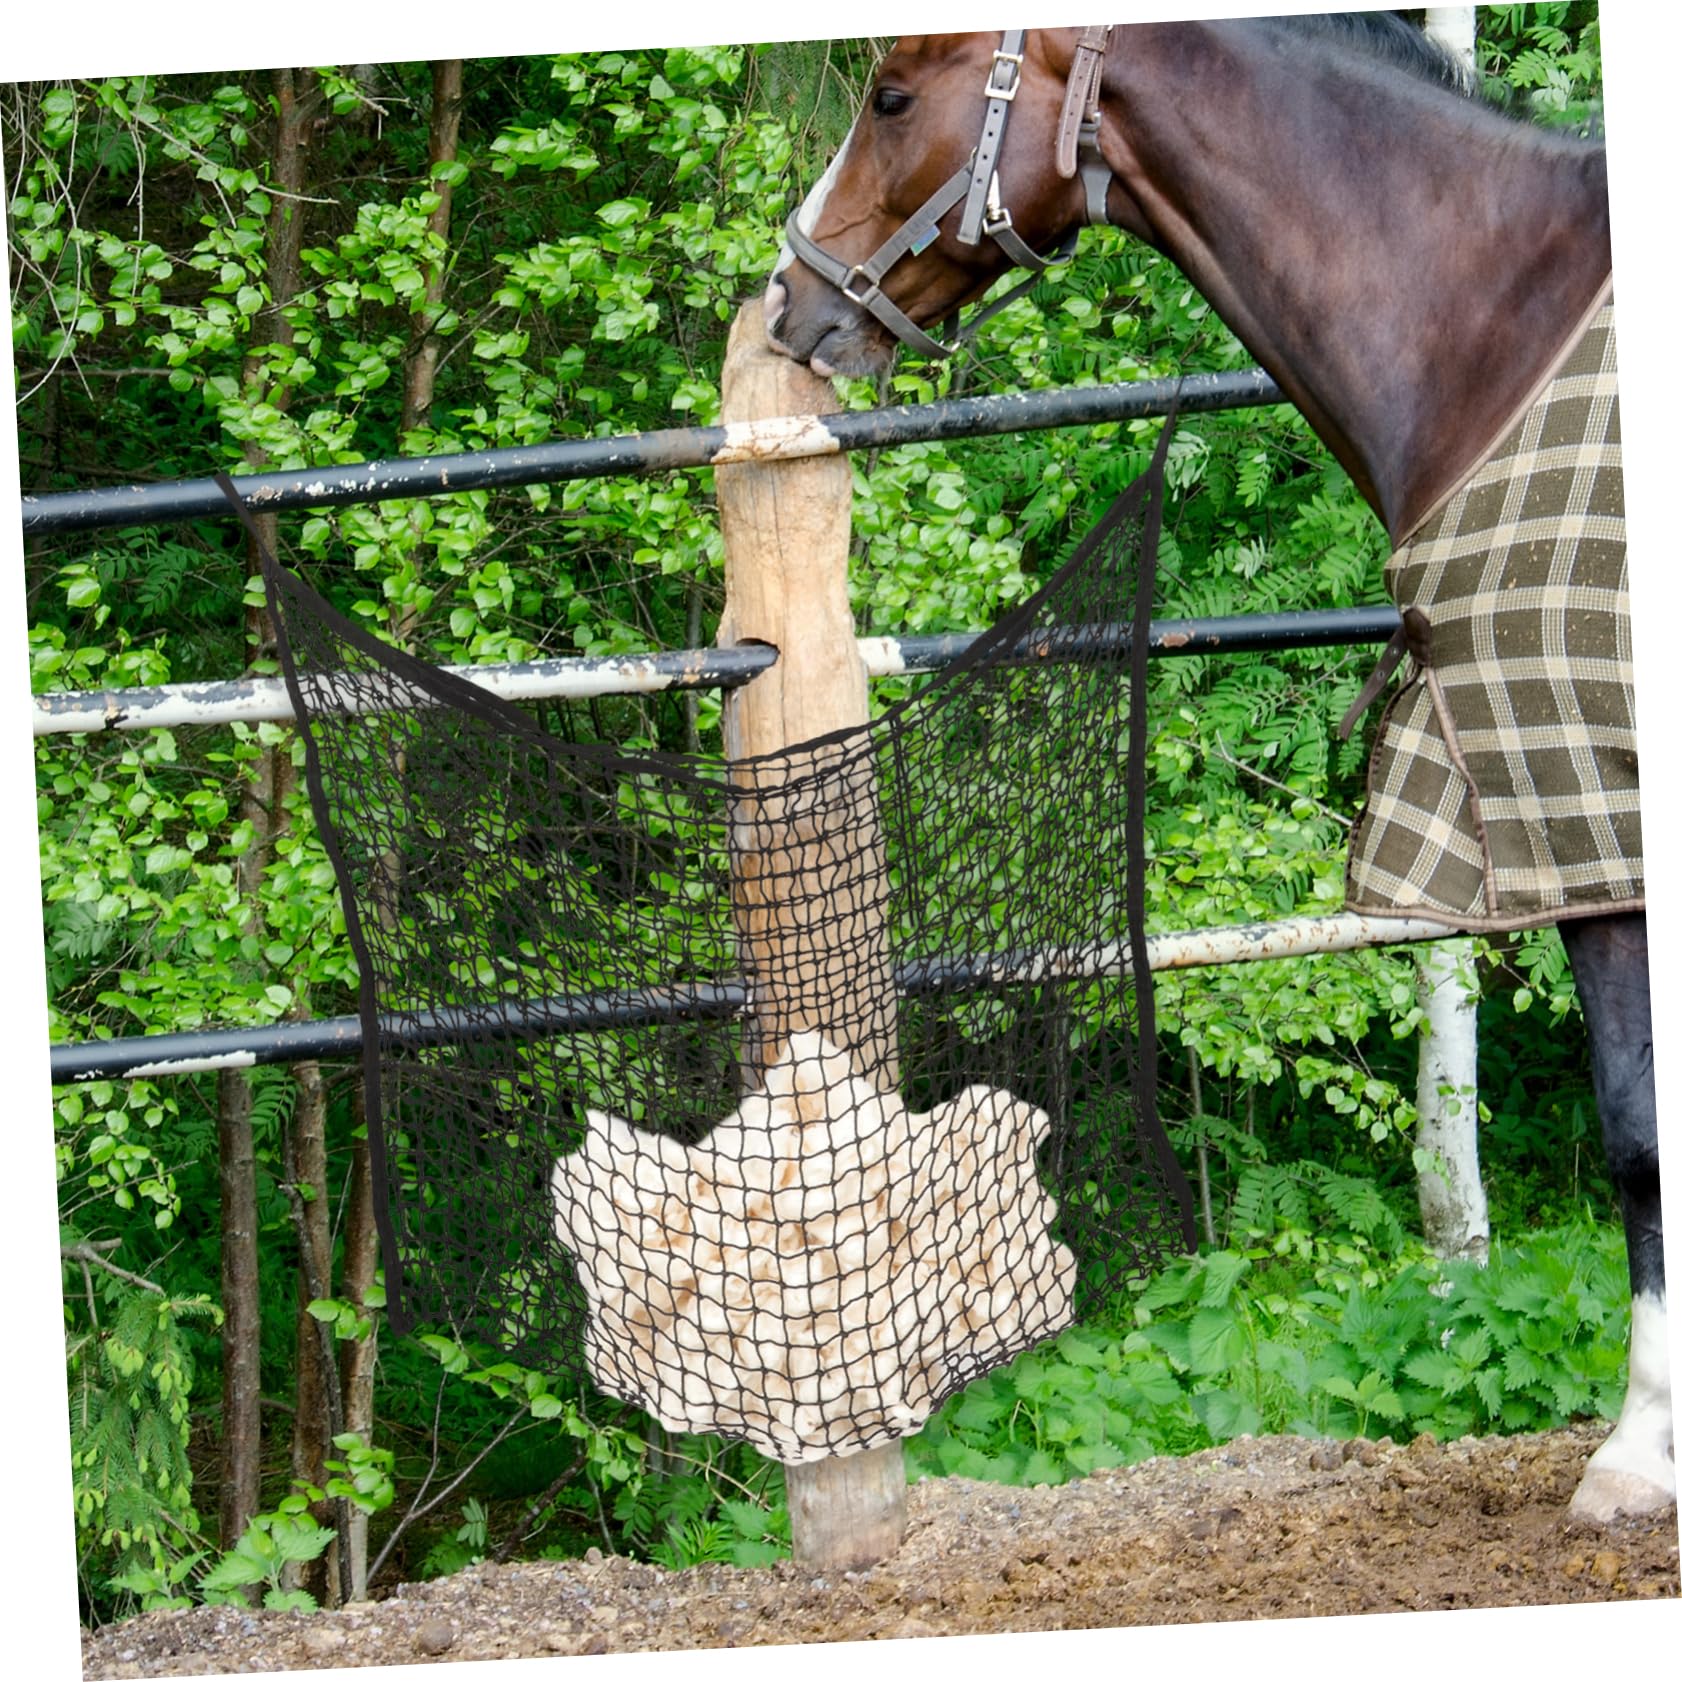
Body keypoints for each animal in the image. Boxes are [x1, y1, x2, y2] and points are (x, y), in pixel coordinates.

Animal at [761, 19, 1670, 1525]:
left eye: (890, 94)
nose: (788, 302)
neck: (1500, 325)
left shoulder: (1583, 810)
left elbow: (1638, 1132)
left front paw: (1637, 1450)